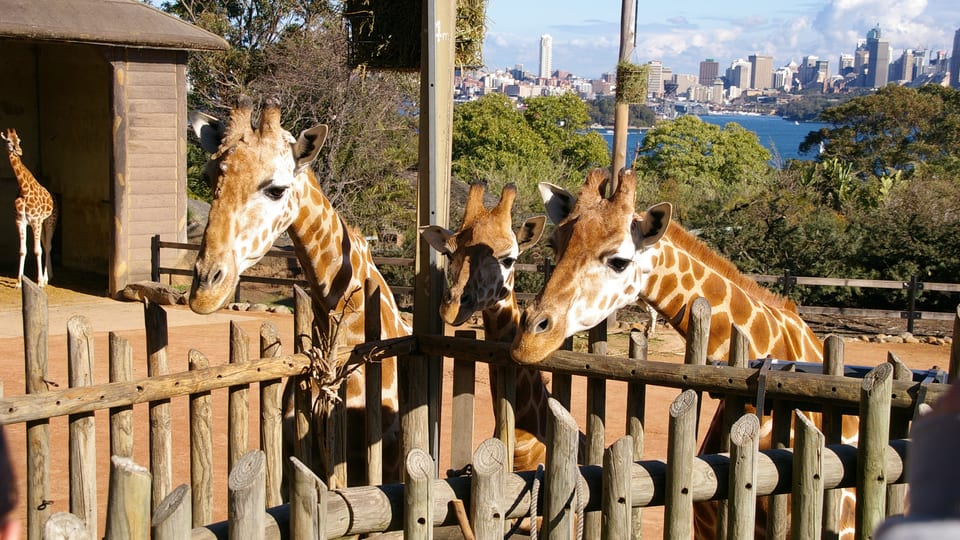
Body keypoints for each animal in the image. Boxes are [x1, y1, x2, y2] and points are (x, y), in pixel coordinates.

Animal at [2, 128, 57, 288]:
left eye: (19, 140)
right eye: (8, 141)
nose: (18, 151)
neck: (24, 190)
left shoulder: (35, 221)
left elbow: (37, 250)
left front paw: (39, 281)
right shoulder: (20, 221)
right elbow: (23, 250)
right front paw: (19, 282)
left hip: (50, 221)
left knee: (48, 246)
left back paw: (46, 278)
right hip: (43, 223)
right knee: (45, 245)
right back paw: (48, 276)